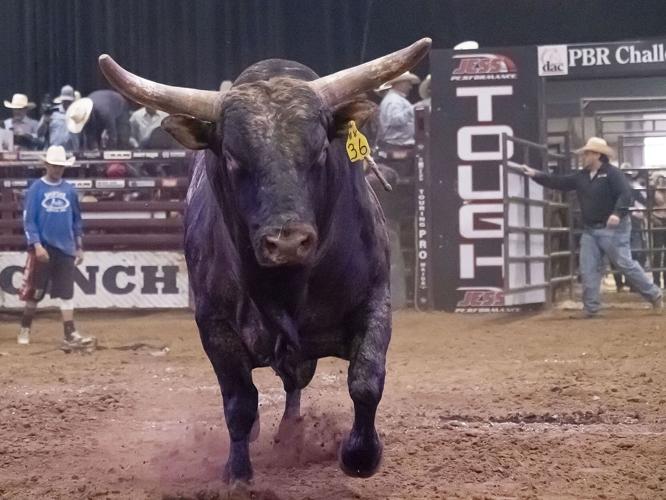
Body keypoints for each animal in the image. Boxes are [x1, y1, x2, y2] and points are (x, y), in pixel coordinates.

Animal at [98, 38, 431, 484]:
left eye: (320, 151)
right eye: (233, 157)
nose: (287, 242)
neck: (288, 287)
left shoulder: (375, 300)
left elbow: (365, 381)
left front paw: (360, 455)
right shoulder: (214, 325)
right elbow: (239, 402)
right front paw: (238, 473)